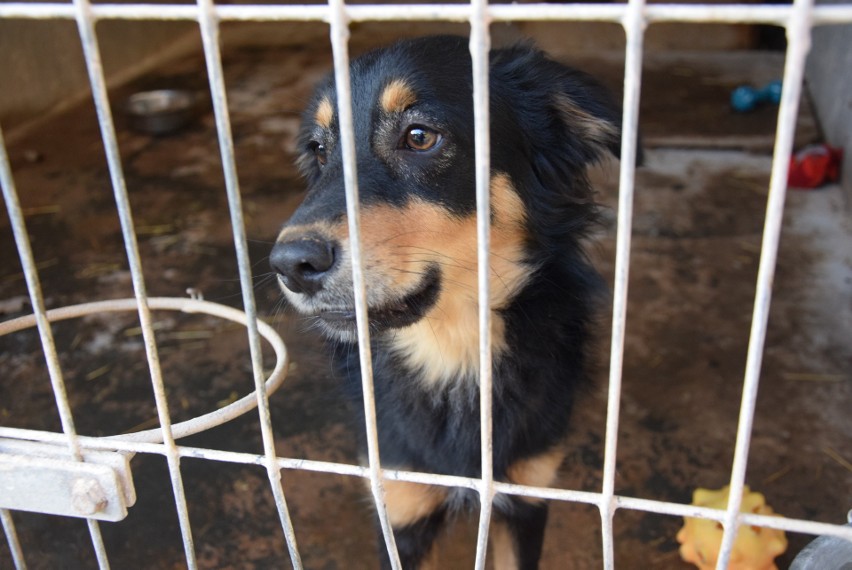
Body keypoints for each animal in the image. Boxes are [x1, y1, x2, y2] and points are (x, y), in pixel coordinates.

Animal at [270, 35, 624, 568]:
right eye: (319, 150)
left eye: (420, 136)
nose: (290, 264)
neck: (452, 355)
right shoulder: (401, 508)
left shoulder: (527, 495)